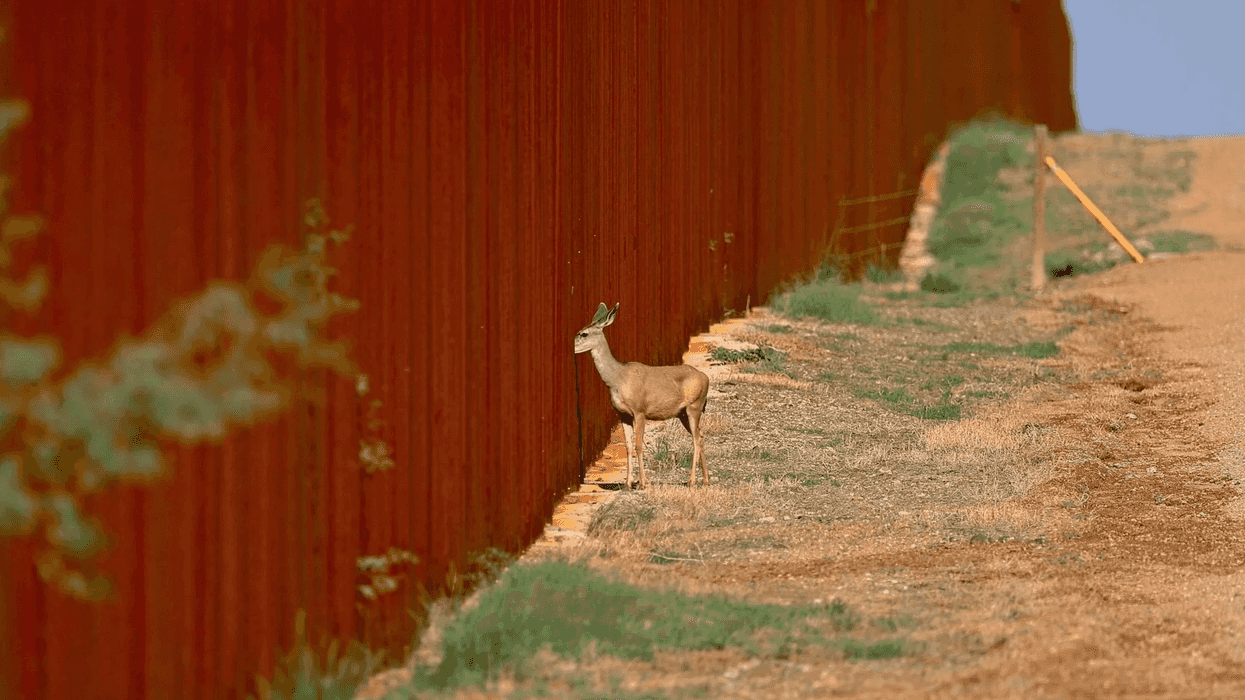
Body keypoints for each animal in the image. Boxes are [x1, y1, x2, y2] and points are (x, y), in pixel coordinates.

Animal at [574, 302, 710, 490]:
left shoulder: (640, 410)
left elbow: (639, 445)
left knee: (696, 439)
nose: (571, 346)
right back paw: (706, 480)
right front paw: (628, 483)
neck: (618, 379)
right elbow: (628, 446)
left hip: (694, 406)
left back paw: (692, 481)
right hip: (683, 413)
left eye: (584, 333)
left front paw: (643, 483)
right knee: (701, 435)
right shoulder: (622, 414)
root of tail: (705, 377)